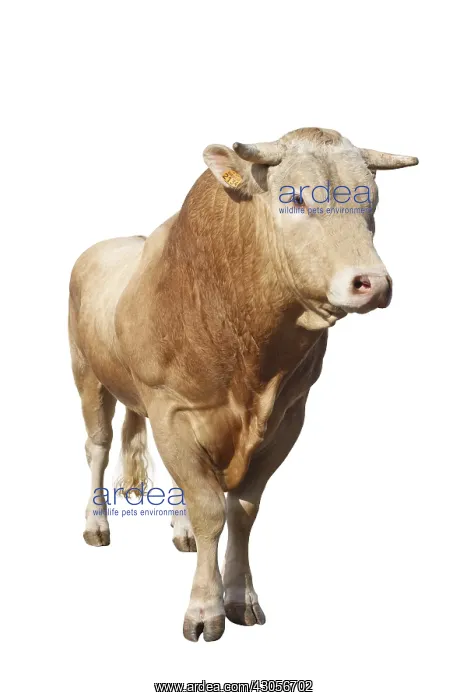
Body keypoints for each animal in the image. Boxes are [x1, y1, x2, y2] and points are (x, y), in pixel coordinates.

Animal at [68, 127, 418, 642]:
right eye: (294, 197)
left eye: (371, 201)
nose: (372, 283)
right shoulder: (172, 410)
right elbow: (209, 508)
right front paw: (204, 609)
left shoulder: (288, 416)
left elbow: (240, 510)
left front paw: (241, 597)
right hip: (86, 373)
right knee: (97, 446)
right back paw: (96, 525)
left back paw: (180, 531)